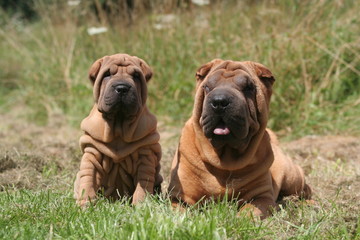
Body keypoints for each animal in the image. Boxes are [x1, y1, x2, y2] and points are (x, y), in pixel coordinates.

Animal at [74, 53, 162, 205]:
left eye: (136, 76)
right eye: (107, 74)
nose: (122, 88)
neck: (118, 125)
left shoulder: (145, 156)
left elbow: (143, 182)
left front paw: (142, 204)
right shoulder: (92, 152)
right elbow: (88, 177)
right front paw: (86, 202)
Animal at [167, 59, 310, 218]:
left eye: (248, 88)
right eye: (207, 87)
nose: (219, 101)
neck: (224, 161)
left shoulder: (262, 197)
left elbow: (249, 210)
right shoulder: (177, 197)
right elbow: (180, 210)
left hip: (292, 177)